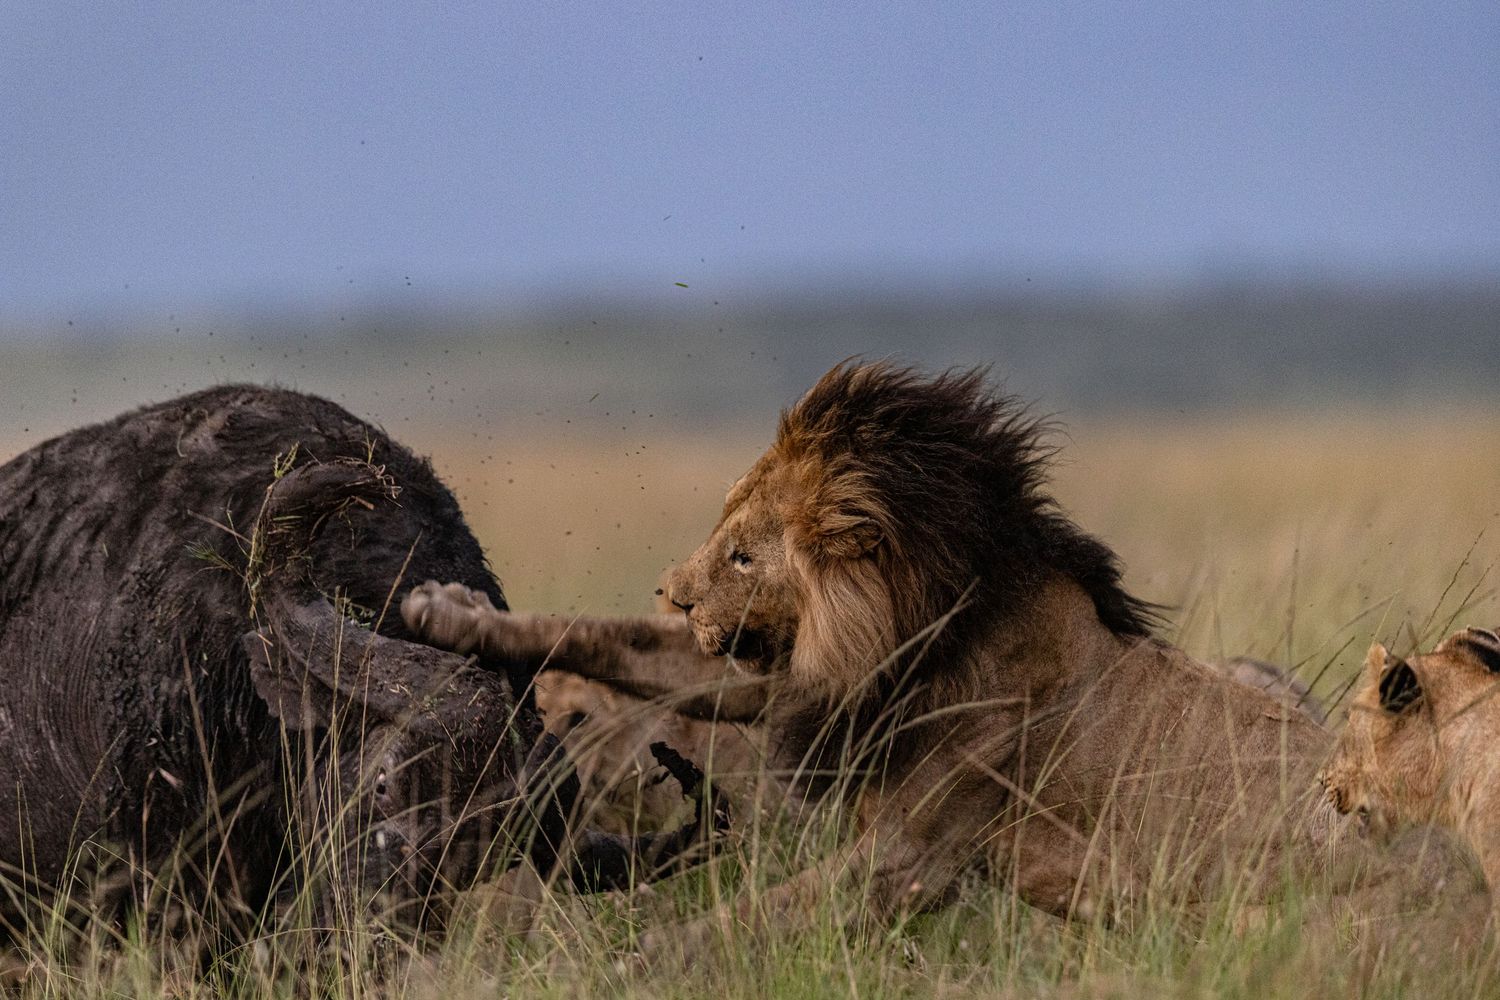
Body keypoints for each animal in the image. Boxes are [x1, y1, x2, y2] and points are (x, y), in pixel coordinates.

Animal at [403, 362, 1346, 944]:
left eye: (742, 556)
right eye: (724, 535)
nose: (673, 593)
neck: (914, 643)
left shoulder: (911, 862)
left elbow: (723, 931)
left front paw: (643, 966)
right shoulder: (796, 683)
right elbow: (608, 637)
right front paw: (450, 612)